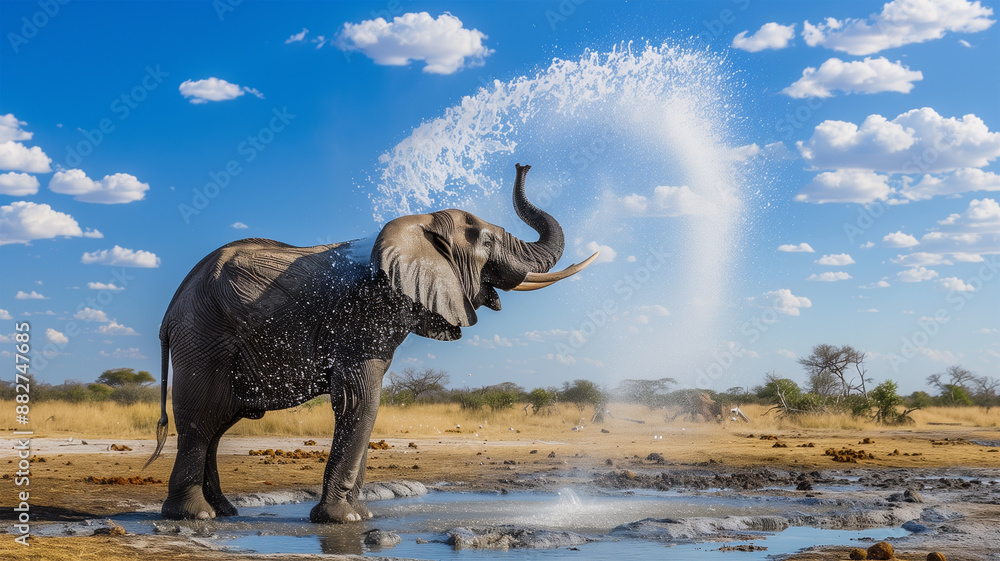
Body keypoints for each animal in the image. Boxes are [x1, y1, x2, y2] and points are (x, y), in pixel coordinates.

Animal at [145, 164, 597, 523]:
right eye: (486, 243)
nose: (523, 165)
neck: (419, 225)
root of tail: (168, 313)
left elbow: (365, 404)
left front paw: (359, 515)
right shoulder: (362, 318)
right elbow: (361, 398)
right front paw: (341, 520)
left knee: (219, 422)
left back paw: (225, 511)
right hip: (203, 335)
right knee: (202, 416)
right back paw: (195, 515)